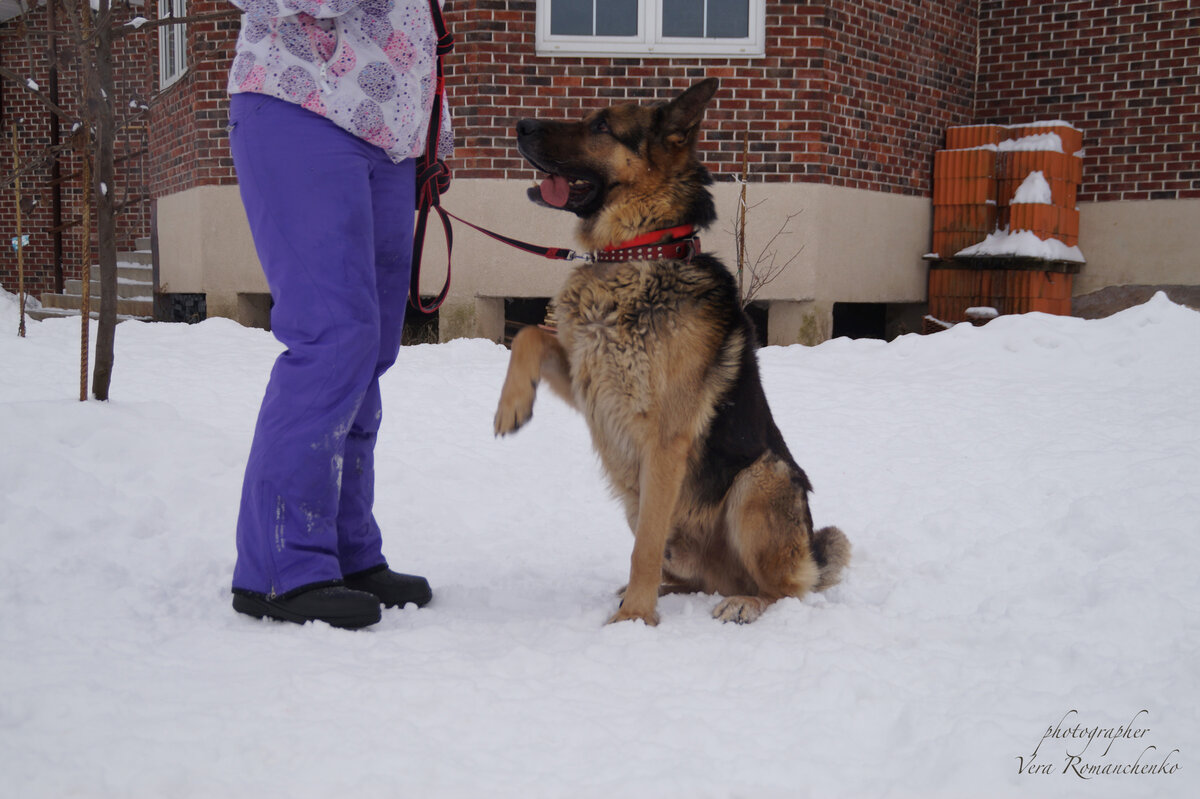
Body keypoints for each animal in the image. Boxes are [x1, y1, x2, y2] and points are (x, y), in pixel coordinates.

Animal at [492, 77, 849, 623]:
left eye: (601, 125)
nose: (520, 125)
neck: (638, 250)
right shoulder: (591, 381)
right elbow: (529, 332)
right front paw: (512, 406)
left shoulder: (663, 438)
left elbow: (644, 546)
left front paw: (633, 622)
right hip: (635, 495)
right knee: (691, 572)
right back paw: (669, 589)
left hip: (759, 480)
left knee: (786, 589)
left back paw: (743, 602)